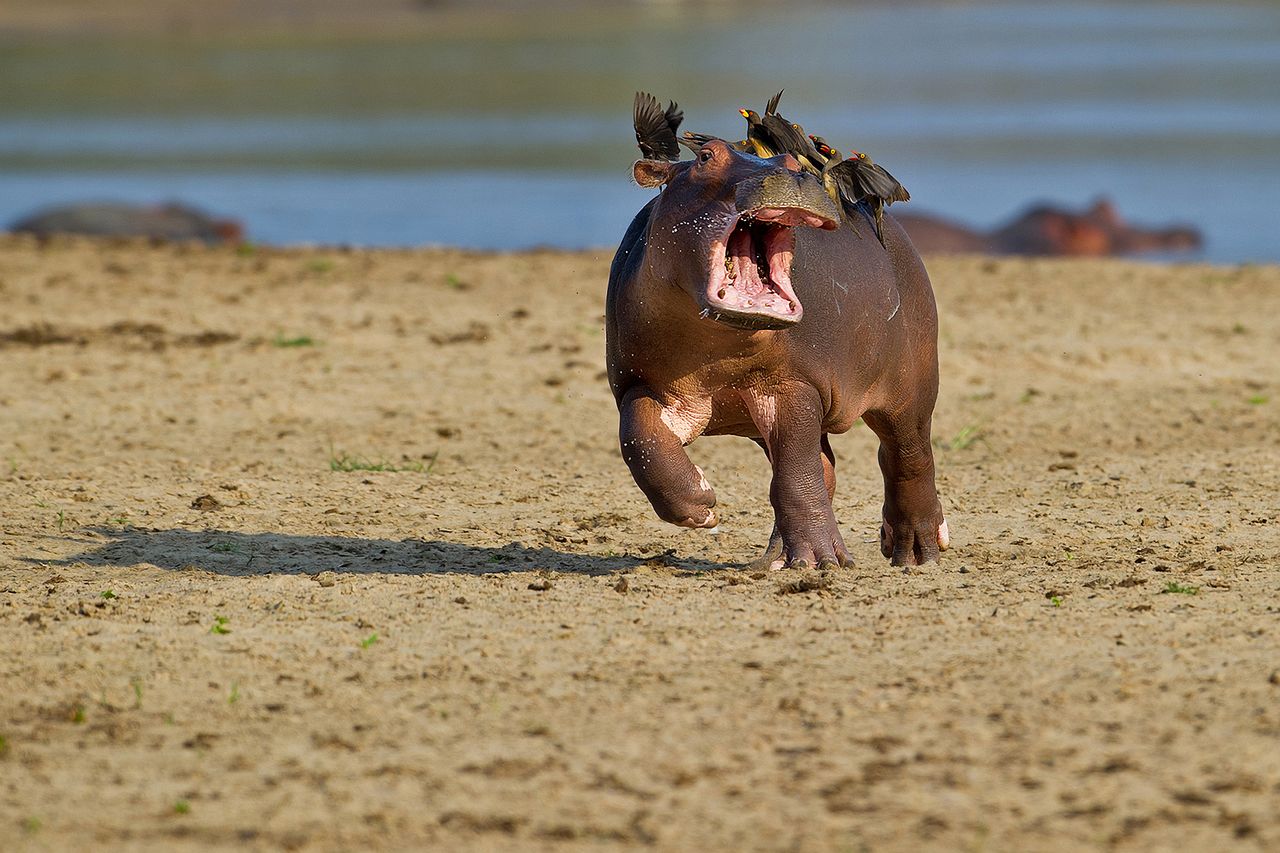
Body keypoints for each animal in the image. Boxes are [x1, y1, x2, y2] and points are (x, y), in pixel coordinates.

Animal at [604, 134, 947, 571]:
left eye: (792, 162)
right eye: (704, 156)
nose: (793, 176)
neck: (719, 349)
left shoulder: (794, 384)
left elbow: (797, 472)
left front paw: (822, 561)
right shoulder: (640, 384)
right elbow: (640, 438)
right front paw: (701, 507)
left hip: (912, 388)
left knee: (906, 457)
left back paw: (915, 553)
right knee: (822, 468)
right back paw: (775, 558)